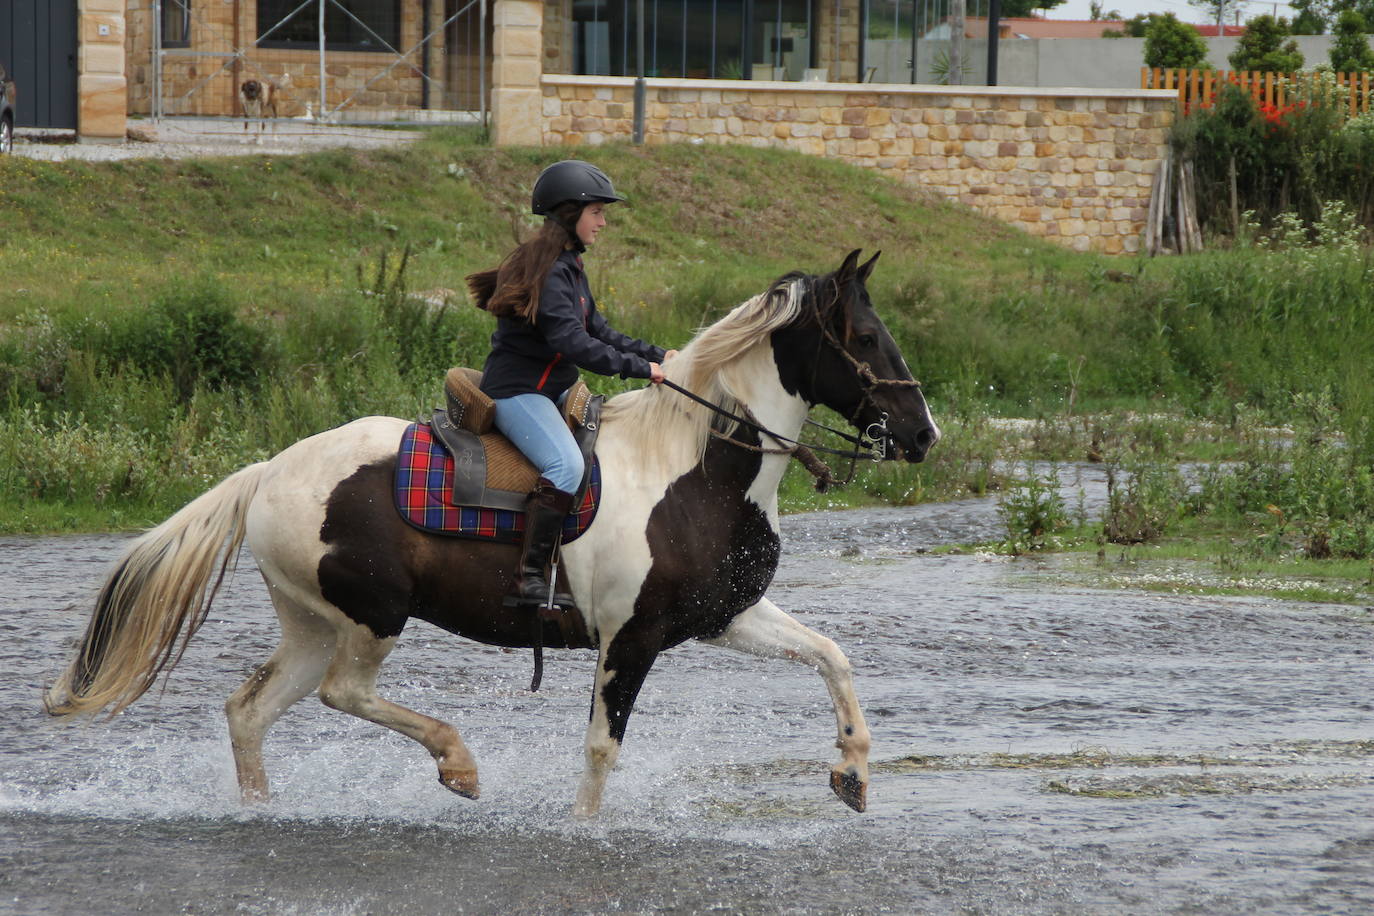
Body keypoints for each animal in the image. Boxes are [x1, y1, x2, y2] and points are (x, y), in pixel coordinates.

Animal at [45, 248, 945, 818]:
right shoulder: (631, 637)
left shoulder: (724, 616)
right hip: (372, 618)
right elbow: (601, 748)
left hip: (312, 622)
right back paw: (458, 764)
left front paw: (853, 772)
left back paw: (264, 809)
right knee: (344, 693)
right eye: (867, 338)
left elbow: (831, 656)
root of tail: (265, 474)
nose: (922, 432)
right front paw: (581, 828)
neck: (693, 469)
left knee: (249, 710)